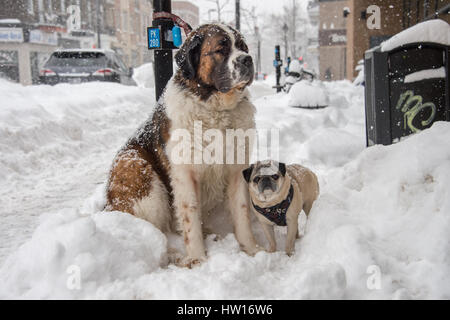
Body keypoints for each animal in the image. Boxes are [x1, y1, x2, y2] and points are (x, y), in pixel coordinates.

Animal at [106, 24, 260, 264]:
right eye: (221, 49)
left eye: (243, 47)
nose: (247, 59)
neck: (215, 109)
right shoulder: (185, 174)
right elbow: (190, 216)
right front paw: (198, 259)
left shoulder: (236, 169)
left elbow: (241, 211)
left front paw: (252, 251)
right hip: (138, 171)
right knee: (153, 228)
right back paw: (173, 254)